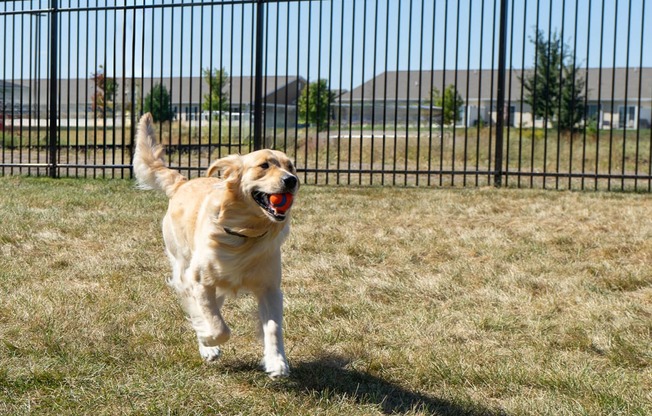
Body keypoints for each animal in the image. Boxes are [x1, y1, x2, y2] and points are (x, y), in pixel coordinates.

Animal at [133, 112, 300, 378]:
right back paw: (206, 345)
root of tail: (183, 182)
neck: (245, 233)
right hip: (184, 265)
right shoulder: (199, 281)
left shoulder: (270, 288)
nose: (292, 180)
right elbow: (218, 325)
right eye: (264, 166)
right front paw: (208, 340)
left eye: (291, 166)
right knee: (198, 307)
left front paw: (276, 362)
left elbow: (273, 327)